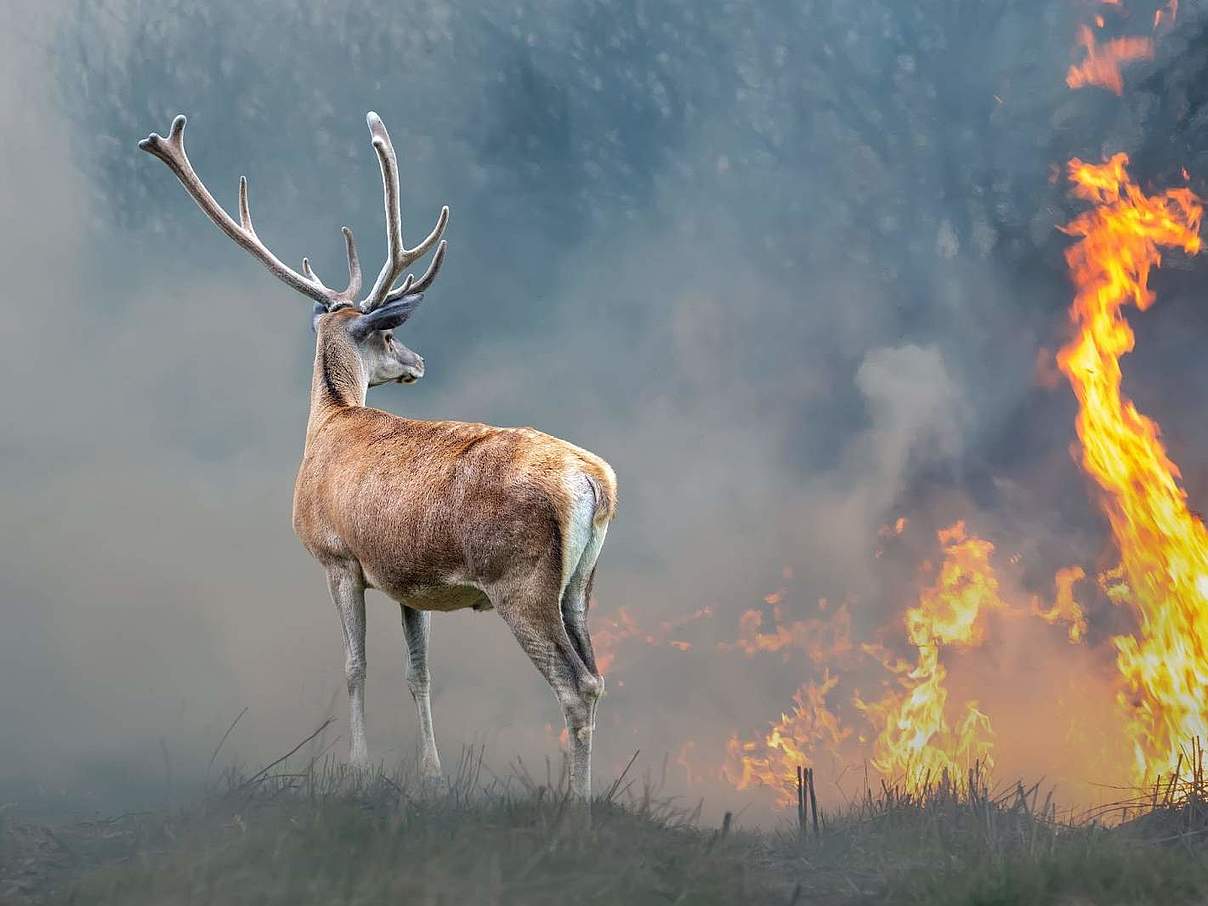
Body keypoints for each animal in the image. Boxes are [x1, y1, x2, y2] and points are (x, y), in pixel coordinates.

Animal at [137, 111, 618, 802]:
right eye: (389, 336)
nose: (418, 360)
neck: (330, 424)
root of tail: (592, 481)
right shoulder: (406, 580)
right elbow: (418, 672)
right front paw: (433, 776)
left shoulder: (337, 557)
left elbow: (354, 666)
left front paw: (359, 769)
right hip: (581, 582)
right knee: (598, 677)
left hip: (520, 581)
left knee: (576, 687)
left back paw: (576, 806)